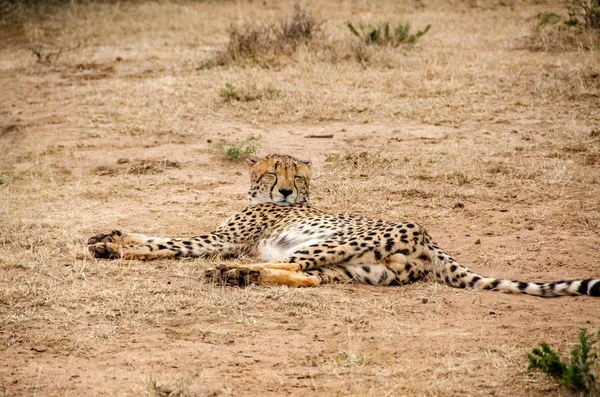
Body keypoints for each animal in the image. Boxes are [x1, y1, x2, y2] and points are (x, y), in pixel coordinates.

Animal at [86, 153, 596, 296]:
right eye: (273, 173)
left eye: (296, 176)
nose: (286, 194)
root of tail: (429, 237)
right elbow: (160, 238)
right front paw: (106, 239)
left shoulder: (220, 239)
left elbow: (167, 242)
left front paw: (113, 243)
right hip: (360, 269)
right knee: (308, 277)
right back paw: (240, 276)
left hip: (330, 244)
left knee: (296, 266)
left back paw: (234, 273)